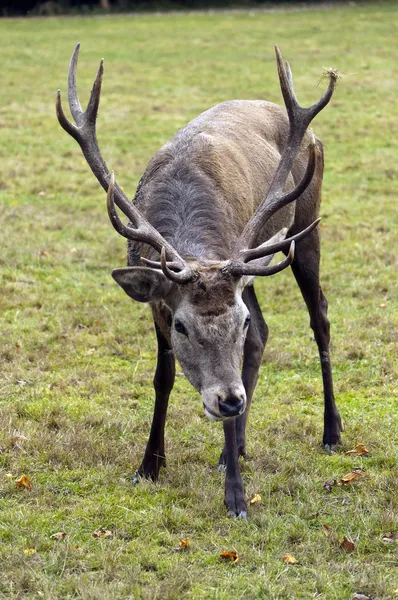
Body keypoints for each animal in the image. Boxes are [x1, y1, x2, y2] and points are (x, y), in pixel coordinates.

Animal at [56, 44, 342, 516]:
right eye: (181, 326)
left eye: (236, 322)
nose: (229, 400)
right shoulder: (158, 302)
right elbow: (163, 377)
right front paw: (149, 465)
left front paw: (236, 497)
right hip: (253, 269)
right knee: (265, 334)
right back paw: (237, 446)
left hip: (307, 221)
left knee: (319, 315)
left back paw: (331, 433)